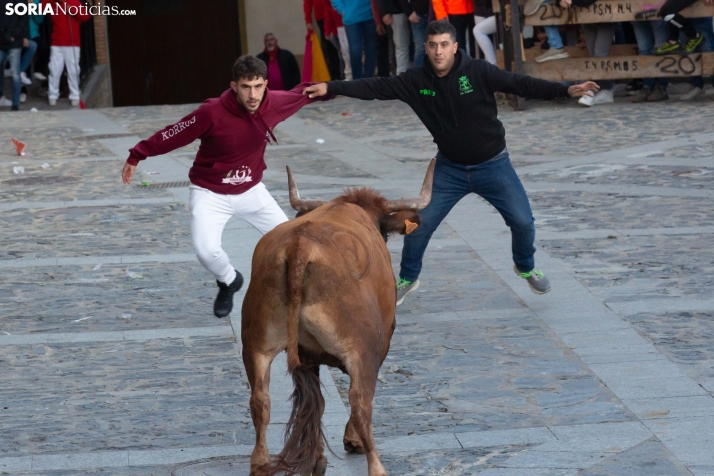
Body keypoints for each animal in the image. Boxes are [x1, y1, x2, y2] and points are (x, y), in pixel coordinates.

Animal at [242, 161, 434, 476]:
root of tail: (300, 245)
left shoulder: (308, 356)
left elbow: (314, 403)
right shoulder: (381, 342)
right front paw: (351, 441)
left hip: (257, 344)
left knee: (261, 400)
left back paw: (267, 463)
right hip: (362, 348)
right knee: (359, 402)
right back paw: (376, 466)